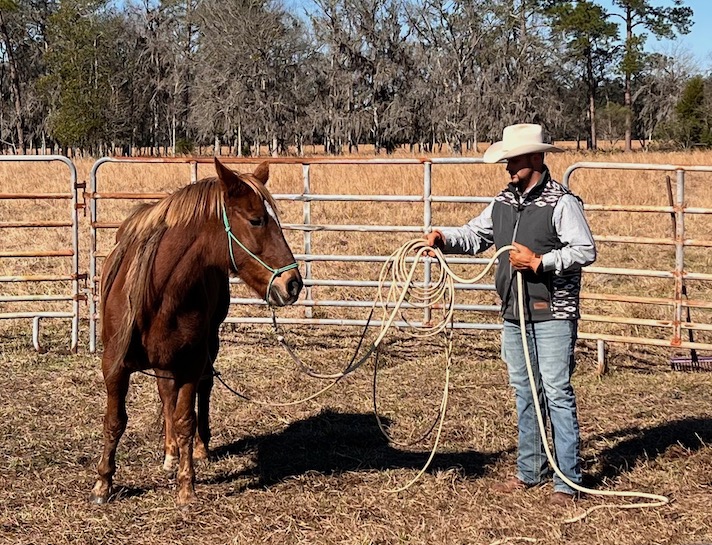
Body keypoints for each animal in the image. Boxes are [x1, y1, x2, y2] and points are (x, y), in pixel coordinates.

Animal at [90, 158, 302, 506]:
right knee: (165, 394)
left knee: (202, 390)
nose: (293, 284)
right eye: (256, 220)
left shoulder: (191, 361)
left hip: (208, 345)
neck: (160, 291)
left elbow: (186, 418)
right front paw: (102, 484)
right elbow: (114, 420)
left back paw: (197, 449)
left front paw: (186, 486)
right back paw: (169, 452)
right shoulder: (114, 364)